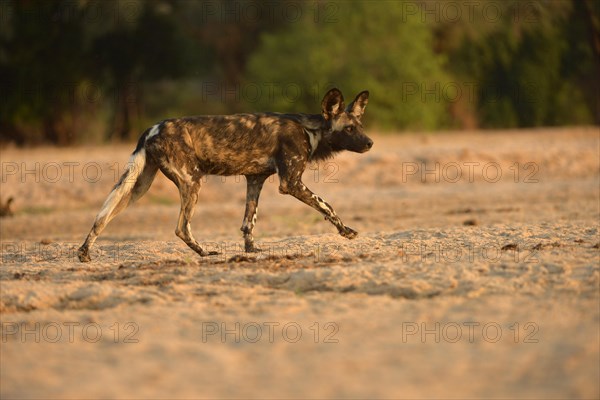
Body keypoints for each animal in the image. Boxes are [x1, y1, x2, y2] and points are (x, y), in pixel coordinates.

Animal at [77, 88, 372, 262]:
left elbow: (248, 223)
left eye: (360, 126)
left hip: (138, 187)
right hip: (192, 181)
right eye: (349, 129)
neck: (311, 129)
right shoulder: (290, 183)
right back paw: (205, 252)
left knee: (102, 217)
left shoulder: (255, 180)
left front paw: (251, 251)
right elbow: (327, 205)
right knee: (181, 227)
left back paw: (84, 252)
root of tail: (152, 128)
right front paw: (346, 231)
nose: (369, 143)